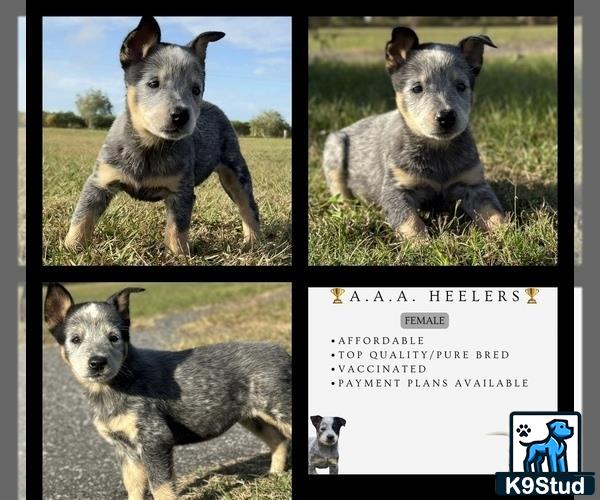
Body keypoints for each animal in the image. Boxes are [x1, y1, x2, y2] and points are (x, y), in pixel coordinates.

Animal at [43, 286, 292, 500]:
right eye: (75, 339)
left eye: (113, 338)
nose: (97, 362)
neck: (113, 387)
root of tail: (281, 350)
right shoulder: (124, 448)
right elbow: (133, 486)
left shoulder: (155, 438)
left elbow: (160, 487)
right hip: (253, 417)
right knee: (278, 440)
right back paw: (274, 475)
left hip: (281, 407)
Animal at [324, 26, 506, 241]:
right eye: (417, 88)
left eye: (461, 86)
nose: (446, 116)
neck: (438, 152)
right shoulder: (396, 188)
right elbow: (410, 221)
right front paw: (422, 243)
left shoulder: (474, 184)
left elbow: (494, 212)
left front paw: (509, 233)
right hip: (334, 146)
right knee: (340, 191)